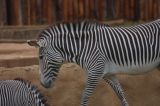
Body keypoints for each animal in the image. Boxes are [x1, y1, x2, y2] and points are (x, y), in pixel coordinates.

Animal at [27, 19, 160, 106]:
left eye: (40, 57)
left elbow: (85, 96)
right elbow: (121, 94)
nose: (42, 84)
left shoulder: (95, 72)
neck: (84, 48)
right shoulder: (108, 74)